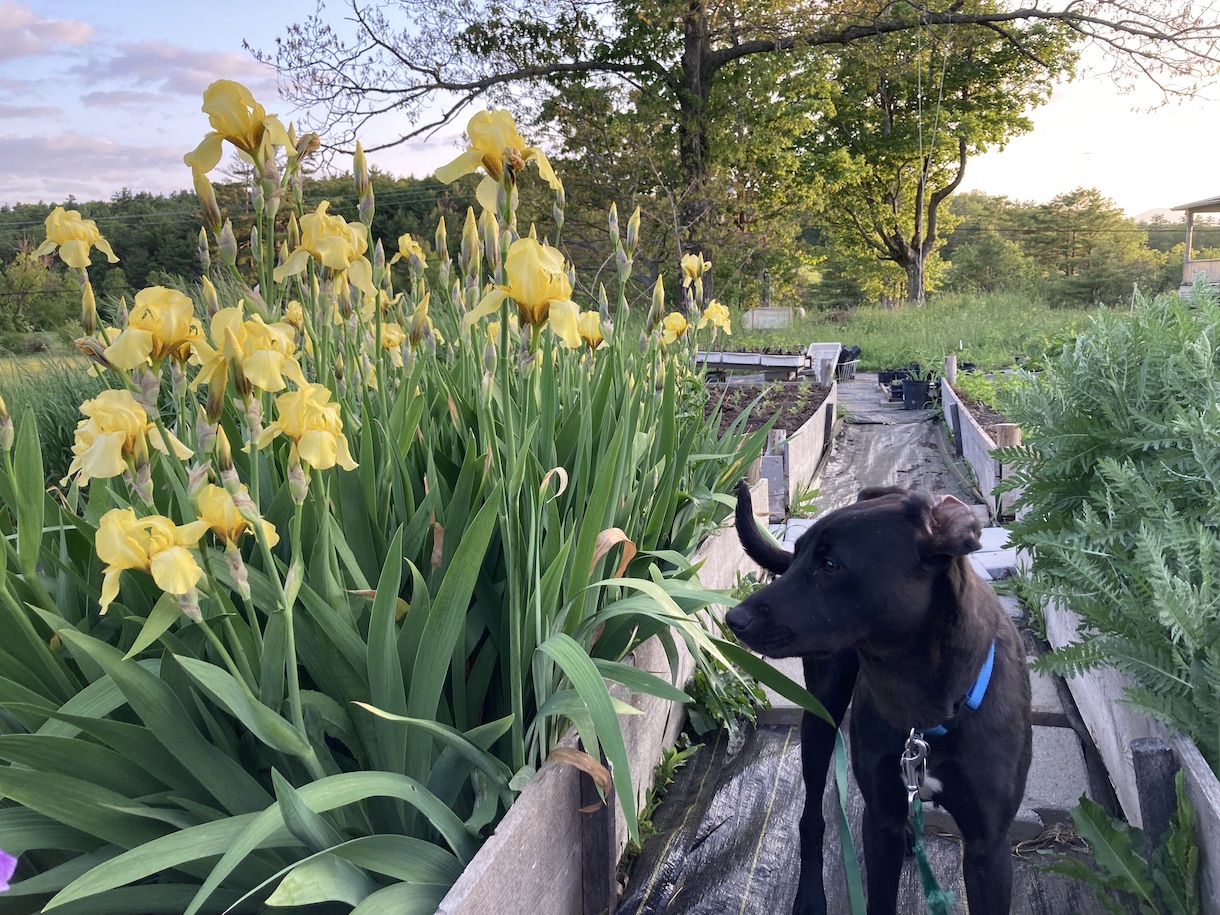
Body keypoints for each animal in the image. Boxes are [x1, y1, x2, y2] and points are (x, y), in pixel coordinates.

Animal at [727, 483, 1034, 912]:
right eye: (798, 552)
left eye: (831, 565)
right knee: (811, 815)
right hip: (820, 715)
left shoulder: (987, 847)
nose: (733, 619)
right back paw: (810, 895)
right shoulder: (879, 823)